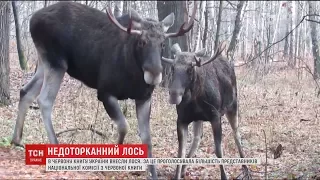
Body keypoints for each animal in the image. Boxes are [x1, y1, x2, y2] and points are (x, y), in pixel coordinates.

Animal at [11, 1, 196, 179]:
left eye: (163, 44)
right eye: (142, 41)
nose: (154, 74)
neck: (133, 73)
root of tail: (33, 20)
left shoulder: (144, 98)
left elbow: (147, 138)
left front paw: (153, 174)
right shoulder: (105, 92)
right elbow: (124, 126)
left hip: (44, 62)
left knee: (26, 91)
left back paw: (16, 139)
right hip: (57, 62)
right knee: (44, 100)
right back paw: (55, 146)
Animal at [162, 43, 250, 179]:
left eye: (190, 69)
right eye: (172, 67)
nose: (174, 95)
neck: (195, 98)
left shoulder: (215, 116)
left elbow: (218, 150)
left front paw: (224, 176)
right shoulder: (181, 119)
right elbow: (180, 152)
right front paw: (177, 175)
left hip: (233, 106)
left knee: (237, 134)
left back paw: (246, 168)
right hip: (198, 118)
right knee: (197, 138)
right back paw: (183, 170)